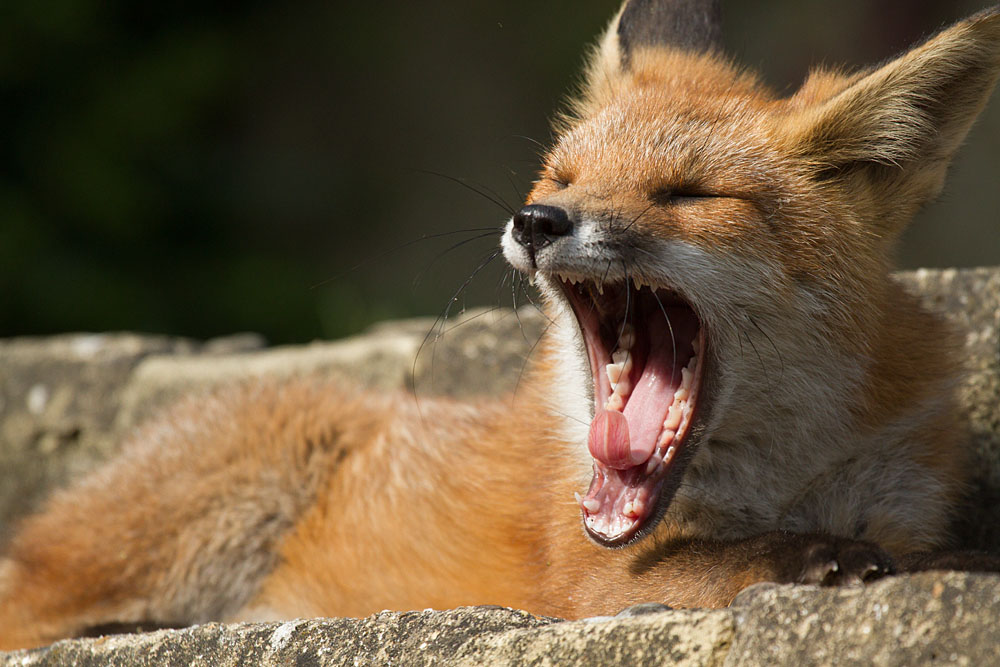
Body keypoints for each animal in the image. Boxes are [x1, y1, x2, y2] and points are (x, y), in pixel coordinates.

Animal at [3, 0, 1000, 652]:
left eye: (688, 195)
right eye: (560, 178)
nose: (537, 221)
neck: (782, 479)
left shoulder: (902, 489)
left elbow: (902, 544)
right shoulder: (589, 578)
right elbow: (741, 562)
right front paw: (837, 561)